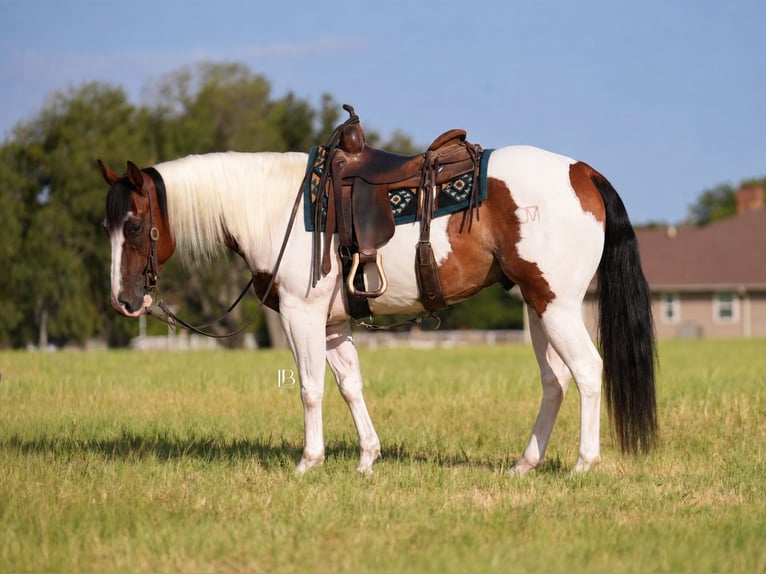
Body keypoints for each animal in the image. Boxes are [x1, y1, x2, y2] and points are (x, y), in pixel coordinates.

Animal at [99, 140, 656, 475]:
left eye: (134, 225)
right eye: (106, 226)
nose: (124, 301)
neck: (273, 208)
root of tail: (583, 172)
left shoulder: (301, 315)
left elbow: (310, 389)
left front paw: (309, 461)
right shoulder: (332, 325)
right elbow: (350, 386)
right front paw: (367, 459)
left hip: (557, 307)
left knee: (587, 371)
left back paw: (584, 462)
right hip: (537, 308)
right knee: (555, 381)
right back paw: (525, 464)